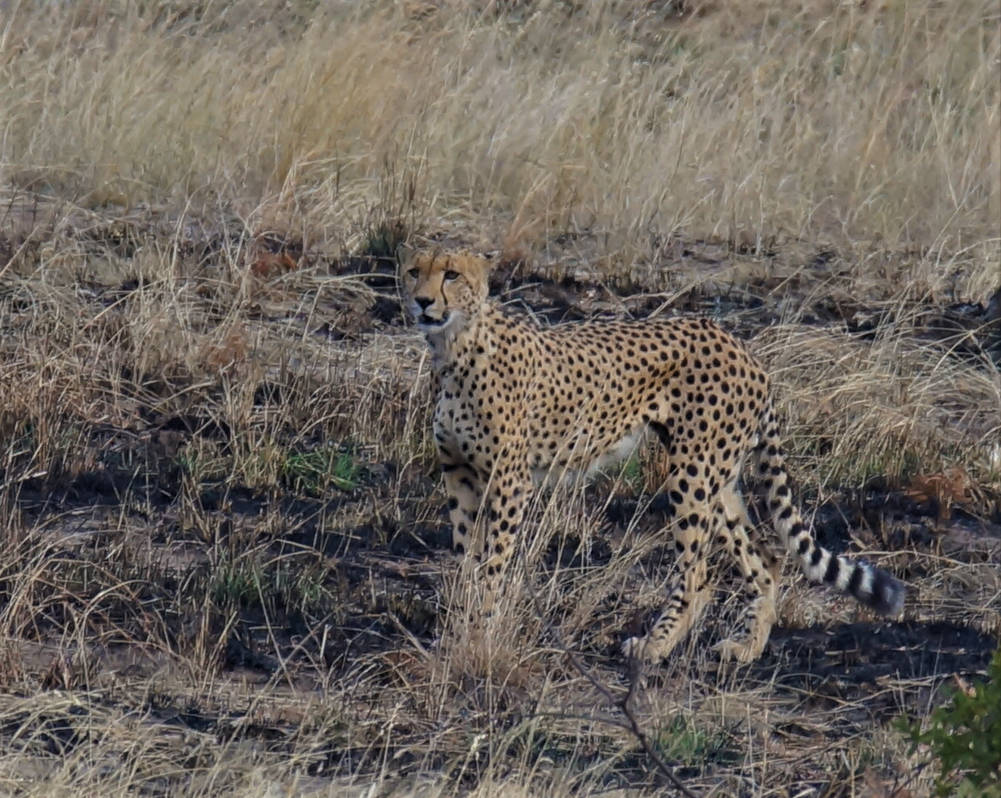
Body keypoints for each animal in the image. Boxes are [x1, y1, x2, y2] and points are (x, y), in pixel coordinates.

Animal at [400, 247, 908, 660]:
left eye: (450, 274)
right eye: (413, 271)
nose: (421, 301)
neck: (455, 346)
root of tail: (739, 343)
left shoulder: (509, 481)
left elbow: (491, 566)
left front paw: (479, 633)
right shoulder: (459, 473)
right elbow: (465, 560)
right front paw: (457, 631)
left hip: (691, 473)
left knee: (698, 575)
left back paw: (655, 646)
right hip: (716, 476)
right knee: (766, 556)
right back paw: (746, 648)